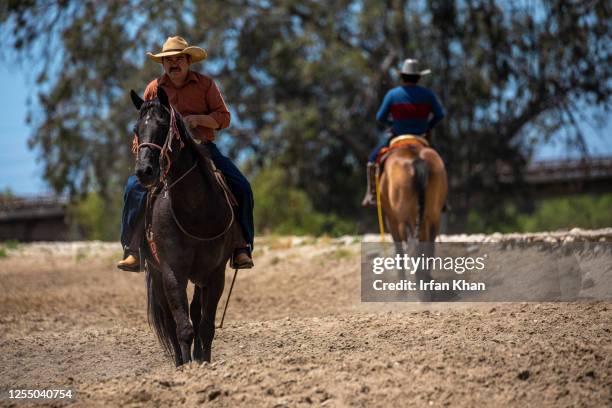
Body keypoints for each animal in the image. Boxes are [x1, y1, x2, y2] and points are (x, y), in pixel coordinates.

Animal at [130, 87, 240, 364]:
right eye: (136, 129)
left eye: (161, 125)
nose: (144, 171)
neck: (195, 210)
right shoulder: (171, 272)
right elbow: (182, 326)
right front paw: (187, 366)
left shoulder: (215, 273)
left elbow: (206, 325)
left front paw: (204, 362)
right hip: (156, 273)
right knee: (170, 322)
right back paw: (180, 362)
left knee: (196, 313)